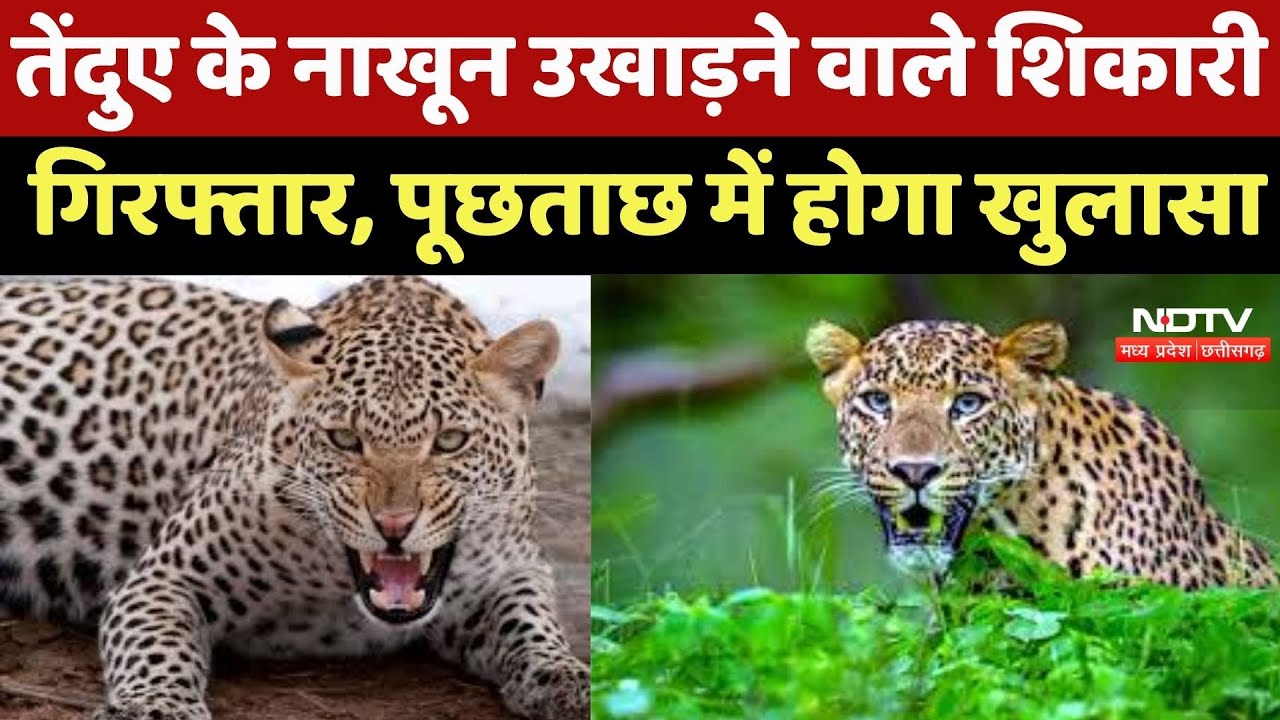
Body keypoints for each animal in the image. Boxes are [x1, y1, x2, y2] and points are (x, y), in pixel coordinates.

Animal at [0, 275, 588, 720]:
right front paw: (155, 708)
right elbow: (156, 648)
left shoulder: (512, 567)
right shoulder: (163, 577)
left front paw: (567, 680)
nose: (394, 525)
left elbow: (531, 624)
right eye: (345, 439)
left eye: (450, 441)